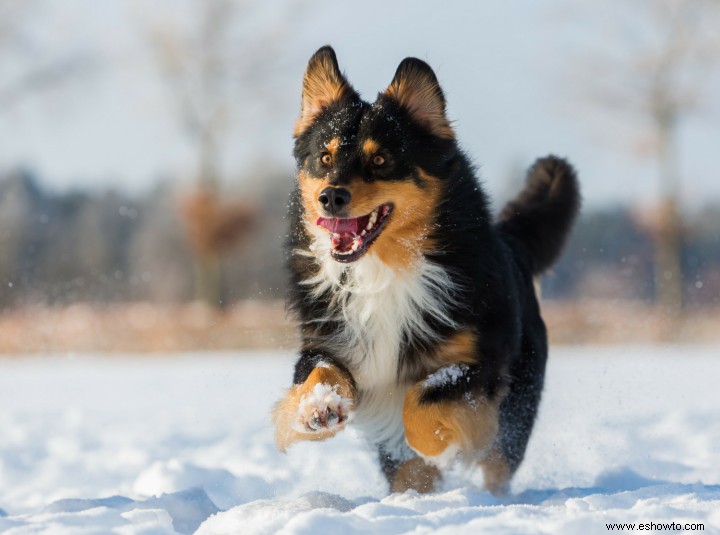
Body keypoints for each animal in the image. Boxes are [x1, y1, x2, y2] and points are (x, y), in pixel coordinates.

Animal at [270, 45, 580, 494]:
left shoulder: (479, 363)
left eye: (381, 159)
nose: (331, 196)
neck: (384, 270)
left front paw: (440, 443)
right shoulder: (328, 342)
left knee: (496, 462)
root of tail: (511, 242)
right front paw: (318, 409)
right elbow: (320, 373)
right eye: (325, 157)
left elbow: (422, 403)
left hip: (517, 407)